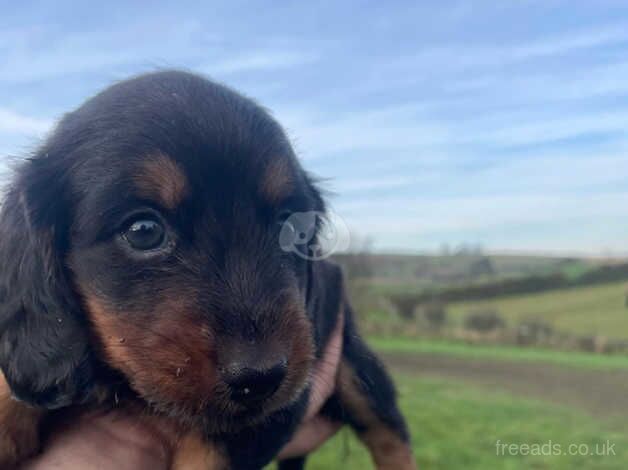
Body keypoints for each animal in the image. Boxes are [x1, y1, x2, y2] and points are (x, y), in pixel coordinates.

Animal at [1, 70, 418, 470]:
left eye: (293, 229)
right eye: (143, 230)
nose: (260, 378)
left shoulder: (266, 417)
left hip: (356, 369)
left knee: (390, 432)